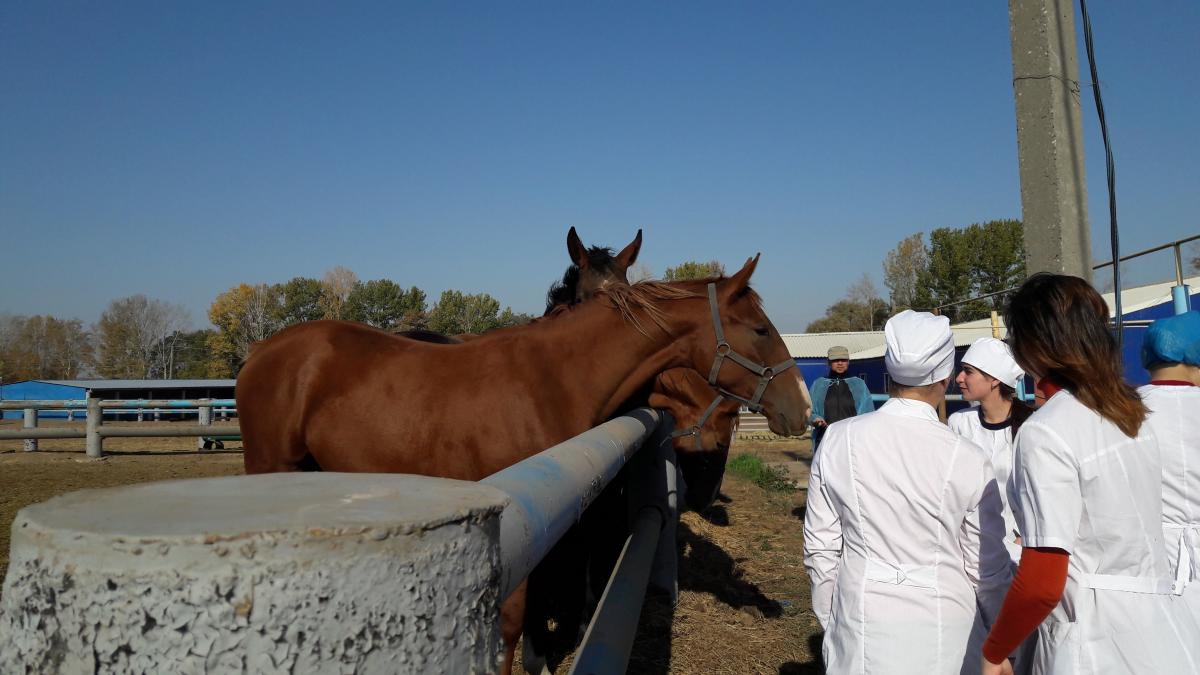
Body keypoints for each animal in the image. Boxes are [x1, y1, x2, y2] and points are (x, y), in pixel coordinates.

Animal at [236, 253, 806, 672]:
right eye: (759, 329)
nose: (800, 407)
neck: (548, 379)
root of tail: (261, 353)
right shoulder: (518, 517)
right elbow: (511, 618)